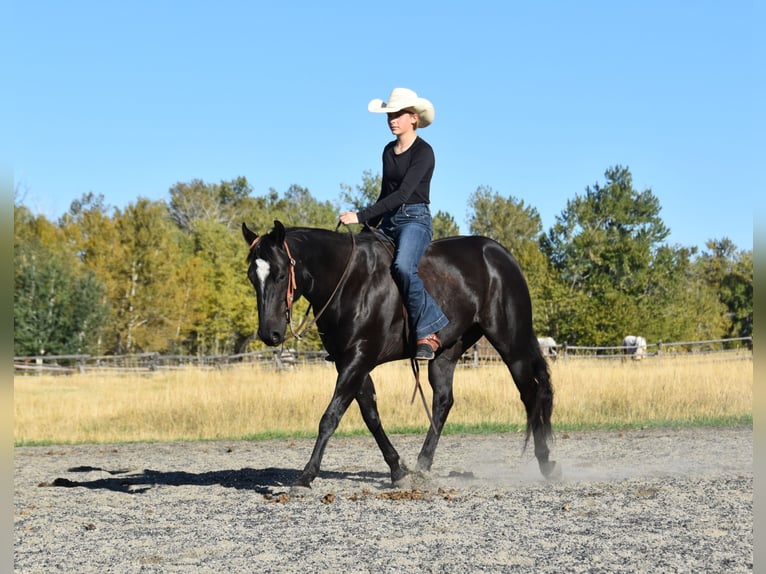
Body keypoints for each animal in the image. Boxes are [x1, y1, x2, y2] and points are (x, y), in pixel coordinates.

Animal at [242, 220, 558, 488]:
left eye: (281, 274)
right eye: (251, 277)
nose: (269, 334)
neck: (348, 280)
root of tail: (501, 254)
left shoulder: (358, 358)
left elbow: (330, 416)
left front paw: (306, 475)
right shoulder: (349, 362)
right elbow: (370, 416)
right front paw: (398, 470)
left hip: (510, 342)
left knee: (530, 394)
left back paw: (546, 462)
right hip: (446, 353)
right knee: (443, 402)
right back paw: (422, 466)